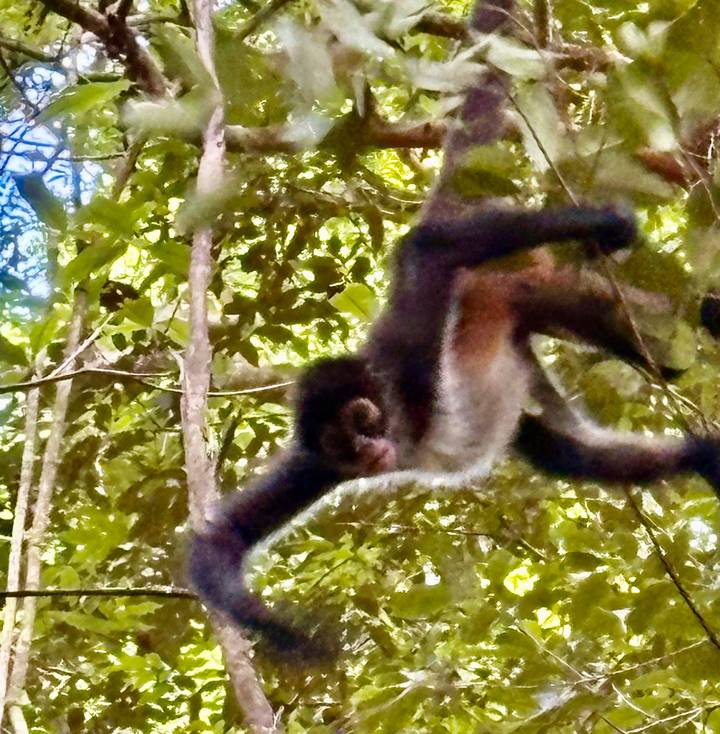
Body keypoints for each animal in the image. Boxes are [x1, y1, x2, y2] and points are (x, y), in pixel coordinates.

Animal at [189, 203, 720, 658]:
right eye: (338, 443)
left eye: (361, 420)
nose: (365, 450)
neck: (404, 431)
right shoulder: (318, 465)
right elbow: (221, 539)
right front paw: (281, 631)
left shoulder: (409, 374)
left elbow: (426, 251)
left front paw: (610, 220)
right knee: (559, 448)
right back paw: (704, 456)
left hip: (541, 286)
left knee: (670, 355)